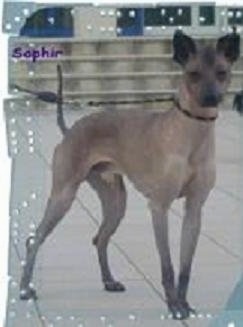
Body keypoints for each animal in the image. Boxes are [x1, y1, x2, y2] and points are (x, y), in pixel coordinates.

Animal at [19, 29, 239, 322]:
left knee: (100, 238)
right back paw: (24, 289)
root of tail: (70, 129)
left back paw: (109, 281)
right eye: (193, 73)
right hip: (63, 196)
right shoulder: (159, 207)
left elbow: (185, 266)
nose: (211, 98)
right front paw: (173, 306)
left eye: (222, 72)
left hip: (116, 203)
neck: (192, 135)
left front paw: (184, 304)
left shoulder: (194, 210)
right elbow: (168, 265)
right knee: (35, 239)